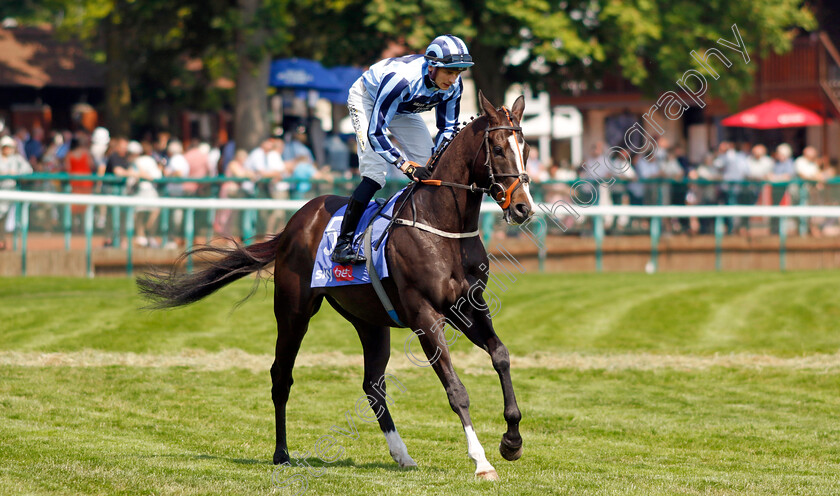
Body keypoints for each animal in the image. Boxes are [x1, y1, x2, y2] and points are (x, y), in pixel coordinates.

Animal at [137, 92, 532, 480]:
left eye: (525, 147)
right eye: (498, 148)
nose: (523, 208)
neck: (442, 226)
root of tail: (294, 222)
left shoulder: (469, 307)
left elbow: (500, 355)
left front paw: (511, 441)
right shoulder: (425, 315)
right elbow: (456, 389)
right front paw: (481, 461)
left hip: (370, 322)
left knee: (372, 385)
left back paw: (401, 454)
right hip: (294, 312)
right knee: (281, 376)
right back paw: (282, 453)